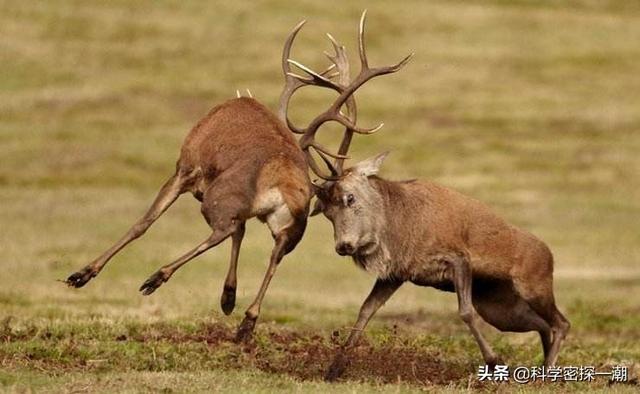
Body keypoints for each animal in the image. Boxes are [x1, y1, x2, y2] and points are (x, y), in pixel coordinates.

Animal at [65, 10, 412, 340]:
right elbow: (241, 235)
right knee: (273, 253)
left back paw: (155, 277)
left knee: (222, 229)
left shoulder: (185, 167)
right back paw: (247, 322)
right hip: (291, 226)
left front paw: (83, 273)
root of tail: (285, 184)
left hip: (218, 197)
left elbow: (144, 223)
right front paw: (228, 296)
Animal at [318, 152, 572, 380]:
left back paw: (546, 374)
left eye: (350, 197)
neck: (402, 228)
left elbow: (465, 312)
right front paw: (334, 370)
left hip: (533, 286)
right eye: (326, 212)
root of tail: (550, 256)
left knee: (562, 323)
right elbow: (367, 308)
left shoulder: (458, 257)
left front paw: (494, 360)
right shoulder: (397, 274)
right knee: (543, 324)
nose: (343, 246)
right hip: (498, 307)